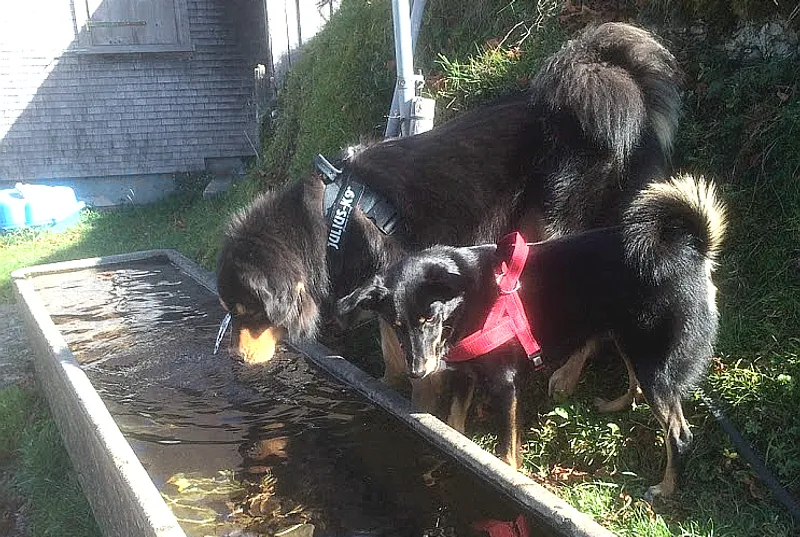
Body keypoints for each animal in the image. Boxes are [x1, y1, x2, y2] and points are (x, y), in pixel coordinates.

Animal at [215, 23, 682, 409]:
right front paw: (388, 384)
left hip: (558, 224)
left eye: (246, 311)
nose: (233, 358)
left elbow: (407, 347)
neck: (328, 223)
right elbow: (391, 345)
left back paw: (567, 372)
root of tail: (621, 82)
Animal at [336, 174, 727, 499]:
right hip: (632, 344)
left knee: (679, 434)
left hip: (653, 361)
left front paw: (507, 475)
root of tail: (693, 252)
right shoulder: (465, 376)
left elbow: (507, 450)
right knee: (637, 388)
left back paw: (666, 488)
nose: (418, 372)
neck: (467, 296)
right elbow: (454, 425)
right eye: (396, 324)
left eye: (429, 317)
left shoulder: (506, 386)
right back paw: (615, 405)